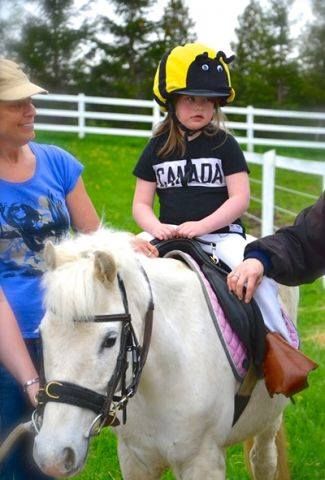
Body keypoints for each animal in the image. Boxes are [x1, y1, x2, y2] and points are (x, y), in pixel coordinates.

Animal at [32, 230, 296, 480]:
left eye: (110, 340)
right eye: (42, 334)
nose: (53, 457)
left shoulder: (203, 463)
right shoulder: (134, 460)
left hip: (269, 421)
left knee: (263, 461)